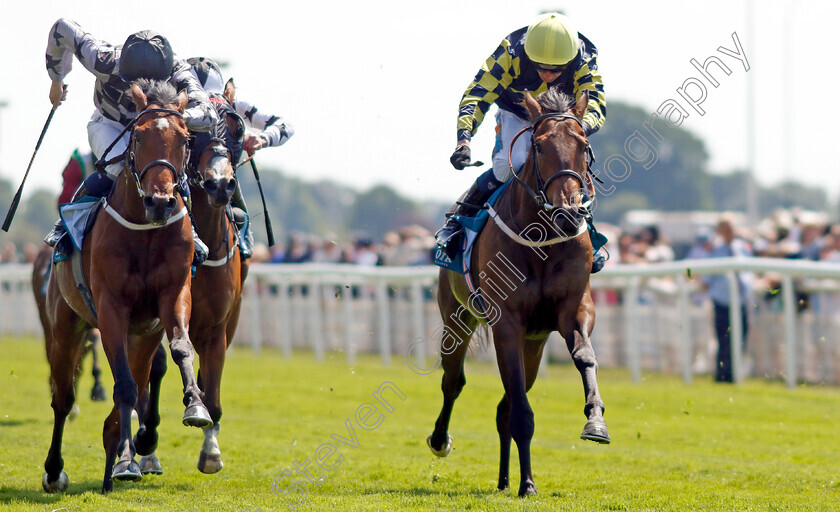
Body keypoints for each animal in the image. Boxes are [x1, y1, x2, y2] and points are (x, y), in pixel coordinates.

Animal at [40, 79, 212, 492]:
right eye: (138, 136)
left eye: (184, 138)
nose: (161, 202)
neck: (146, 231)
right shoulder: (111, 308)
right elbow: (123, 387)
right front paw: (123, 461)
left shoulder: (173, 297)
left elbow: (181, 349)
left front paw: (196, 405)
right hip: (65, 325)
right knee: (63, 398)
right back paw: (56, 470)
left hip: (143, 336)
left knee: (135, 385)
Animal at [134, 79, 249, 476]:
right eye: (196, 138)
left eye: (237, 129)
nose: (220, 185)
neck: (207, 249)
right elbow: (153, 371)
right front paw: (146, 443)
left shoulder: (218, 328)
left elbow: (211, 386)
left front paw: (211, 449)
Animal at [426, 89, 612, 496]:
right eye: (539, 146)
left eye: (583, 144)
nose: (568, 213)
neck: (541, 241)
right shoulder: (507, 324)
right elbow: (522, 413)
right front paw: (528, 484)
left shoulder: (574, 309)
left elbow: (585, 357)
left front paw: (595, 421)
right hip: (457, 318)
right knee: (454, 382)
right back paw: (441, 440)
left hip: (535, 343)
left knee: (504, 407)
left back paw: (503, 480)